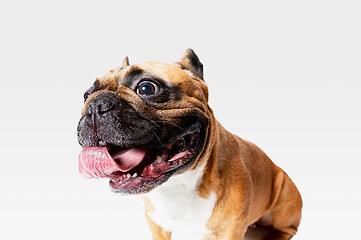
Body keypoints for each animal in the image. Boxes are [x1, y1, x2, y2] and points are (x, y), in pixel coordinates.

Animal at [78, 47, 300, 239]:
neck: (177, 184)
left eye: (146, 88)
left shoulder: (229, 231)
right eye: (86, 95)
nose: (96, 104)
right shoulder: (157, 226)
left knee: (288, 229)